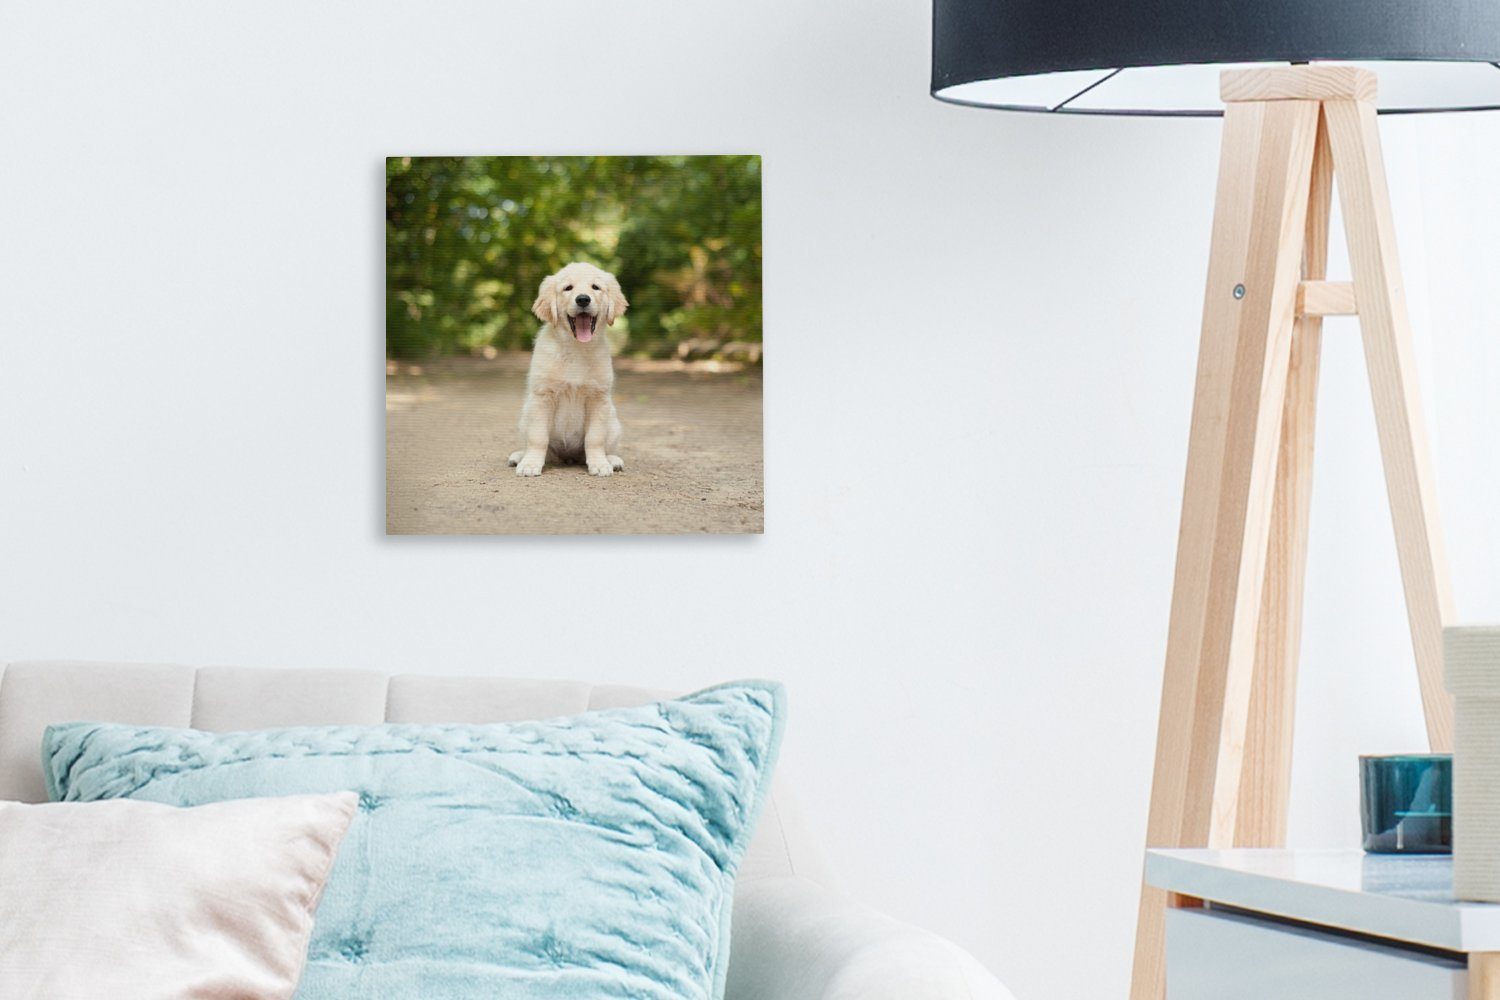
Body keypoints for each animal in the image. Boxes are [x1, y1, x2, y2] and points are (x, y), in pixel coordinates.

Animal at [501, 262, 624, 479]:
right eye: (568, 288)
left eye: (595, 287)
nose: (583, 299)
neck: (576, 348)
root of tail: (568, 458)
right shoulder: (542, 396)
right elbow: (538, 437)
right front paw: (530, 464)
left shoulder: (598, 398)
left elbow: (595, 438)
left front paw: (600, 464)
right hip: (525, 416)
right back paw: (519, 456)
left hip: (614, 422)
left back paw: (612, 459)